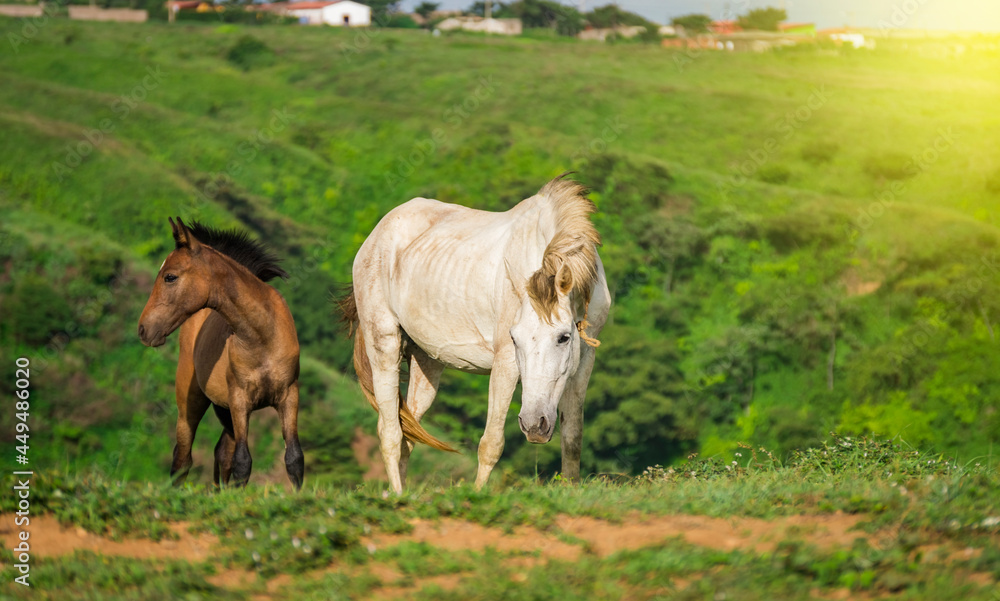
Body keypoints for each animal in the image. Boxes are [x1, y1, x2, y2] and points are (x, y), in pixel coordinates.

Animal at [136, 218, 304, 490]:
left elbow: (294, 458)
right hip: (191, 402)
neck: (262, 337)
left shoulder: (288, 396)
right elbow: (243, 462)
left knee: (222, 452)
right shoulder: (240, 400)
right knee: (183, 458)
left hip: (224, 410)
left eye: (170, 276)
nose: (144, 329)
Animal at [342, 173, 608, 492]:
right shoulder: (505, 362)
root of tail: (376, 234)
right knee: (390, 432)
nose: (535, 425)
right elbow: (491, 443)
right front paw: (479, 494)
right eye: (515, 339)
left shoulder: (584, 361)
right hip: (384, 345)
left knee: (409, 432)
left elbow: (572, 440)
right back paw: (396, 496)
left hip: (427, 363)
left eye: (564, 337)